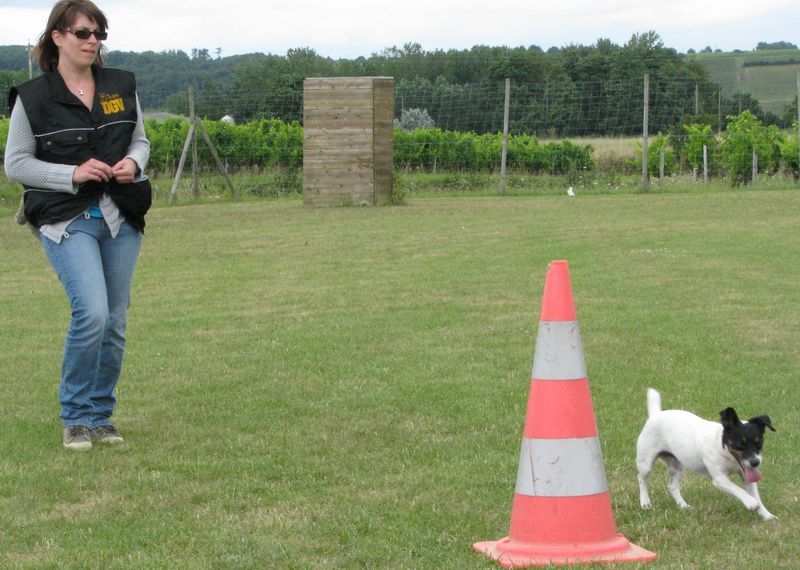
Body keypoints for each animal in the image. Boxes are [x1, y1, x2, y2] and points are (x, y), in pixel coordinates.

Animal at [636, 388, 776, 520]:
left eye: (759, 443)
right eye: (740, 445)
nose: (755, 462)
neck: (724, 449)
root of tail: (656, 414)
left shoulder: (746, 476)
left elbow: (756, 495)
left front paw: (767, 515)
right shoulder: (720, 478)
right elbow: (738, 489)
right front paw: (750, 502)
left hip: (677, 466)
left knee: (673, 487)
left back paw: (683, 506)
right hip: (645, 463)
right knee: (641, 480)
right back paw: (645, 503)